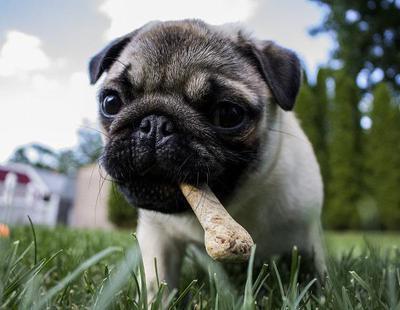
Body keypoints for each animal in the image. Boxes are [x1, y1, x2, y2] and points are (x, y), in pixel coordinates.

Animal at [88, 18, 324, 294]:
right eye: (111, 102)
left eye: (229, 114)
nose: (155, 124)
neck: (233, 205)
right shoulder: (158, 236)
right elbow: (158, 283)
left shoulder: (308, 235)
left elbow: (318, 275)